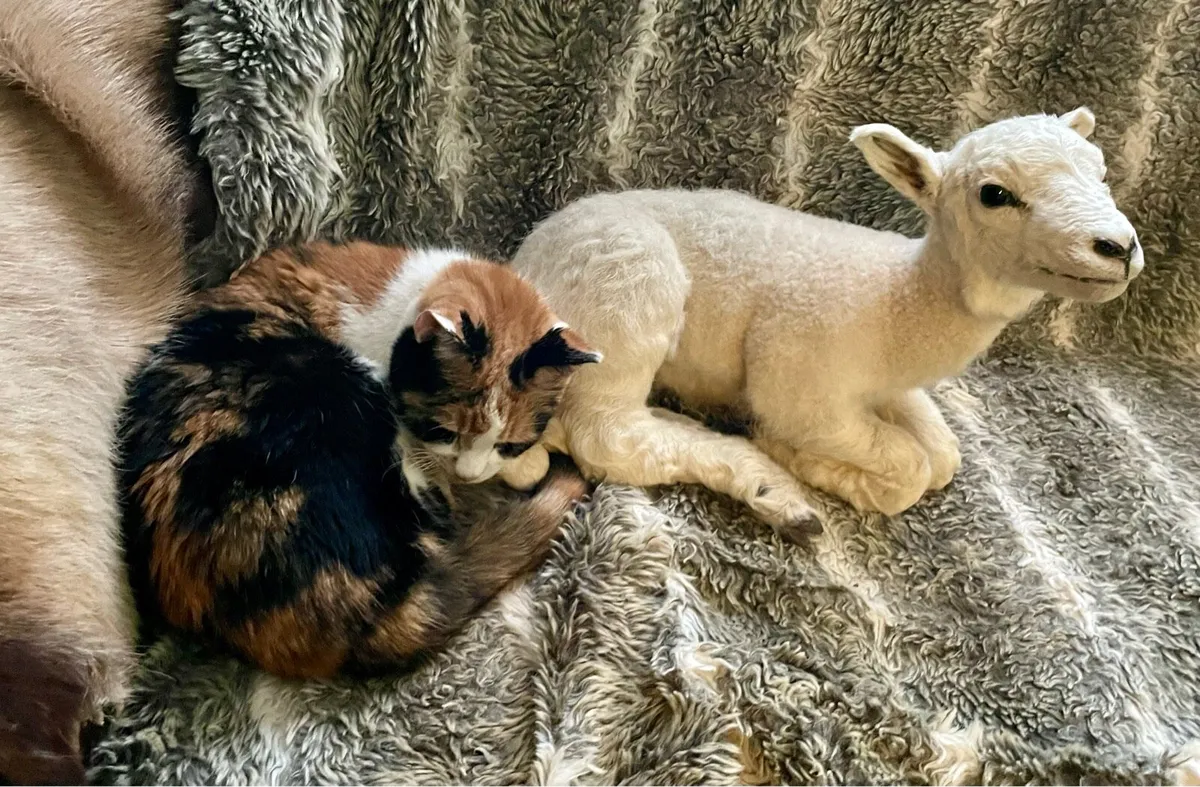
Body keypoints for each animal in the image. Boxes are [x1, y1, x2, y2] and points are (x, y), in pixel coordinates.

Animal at [500, 108, 1143, 539]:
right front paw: (809, 463)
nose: (1118, 247)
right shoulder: (802, 386)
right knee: (609, 437)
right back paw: (769, 484)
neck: (896, 304)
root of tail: (521, 264)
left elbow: (942, 455)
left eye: (1101, 171)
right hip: (626, 295)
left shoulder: (888, 385)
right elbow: (910, 466)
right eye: (994, 194)